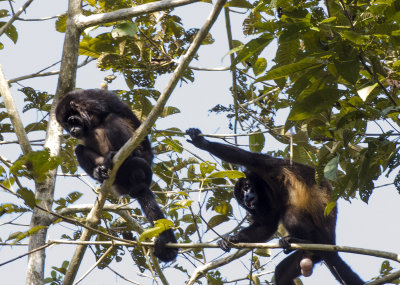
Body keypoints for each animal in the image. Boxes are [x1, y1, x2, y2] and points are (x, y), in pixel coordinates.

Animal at [55, 89, 177, 262]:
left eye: (72, 121)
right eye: (66, 126)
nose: (72, 131)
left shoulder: (98, 99)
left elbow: (130, 118)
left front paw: (147, 153)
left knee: (112, 118)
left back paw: (126, 157)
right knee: (79, 149)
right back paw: (100, 171)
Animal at [186, 128, 364, 284]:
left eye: (247, 187)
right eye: (241, 196)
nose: (246, 197)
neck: (268, 187)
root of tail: (331, 241)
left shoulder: (269, 166)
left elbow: (250, 158)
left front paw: (202, 142)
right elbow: (266, 225)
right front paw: (231, 239)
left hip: (321, 238)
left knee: (290, 213)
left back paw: (298, 239)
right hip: (311, 255)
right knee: (281, 274)